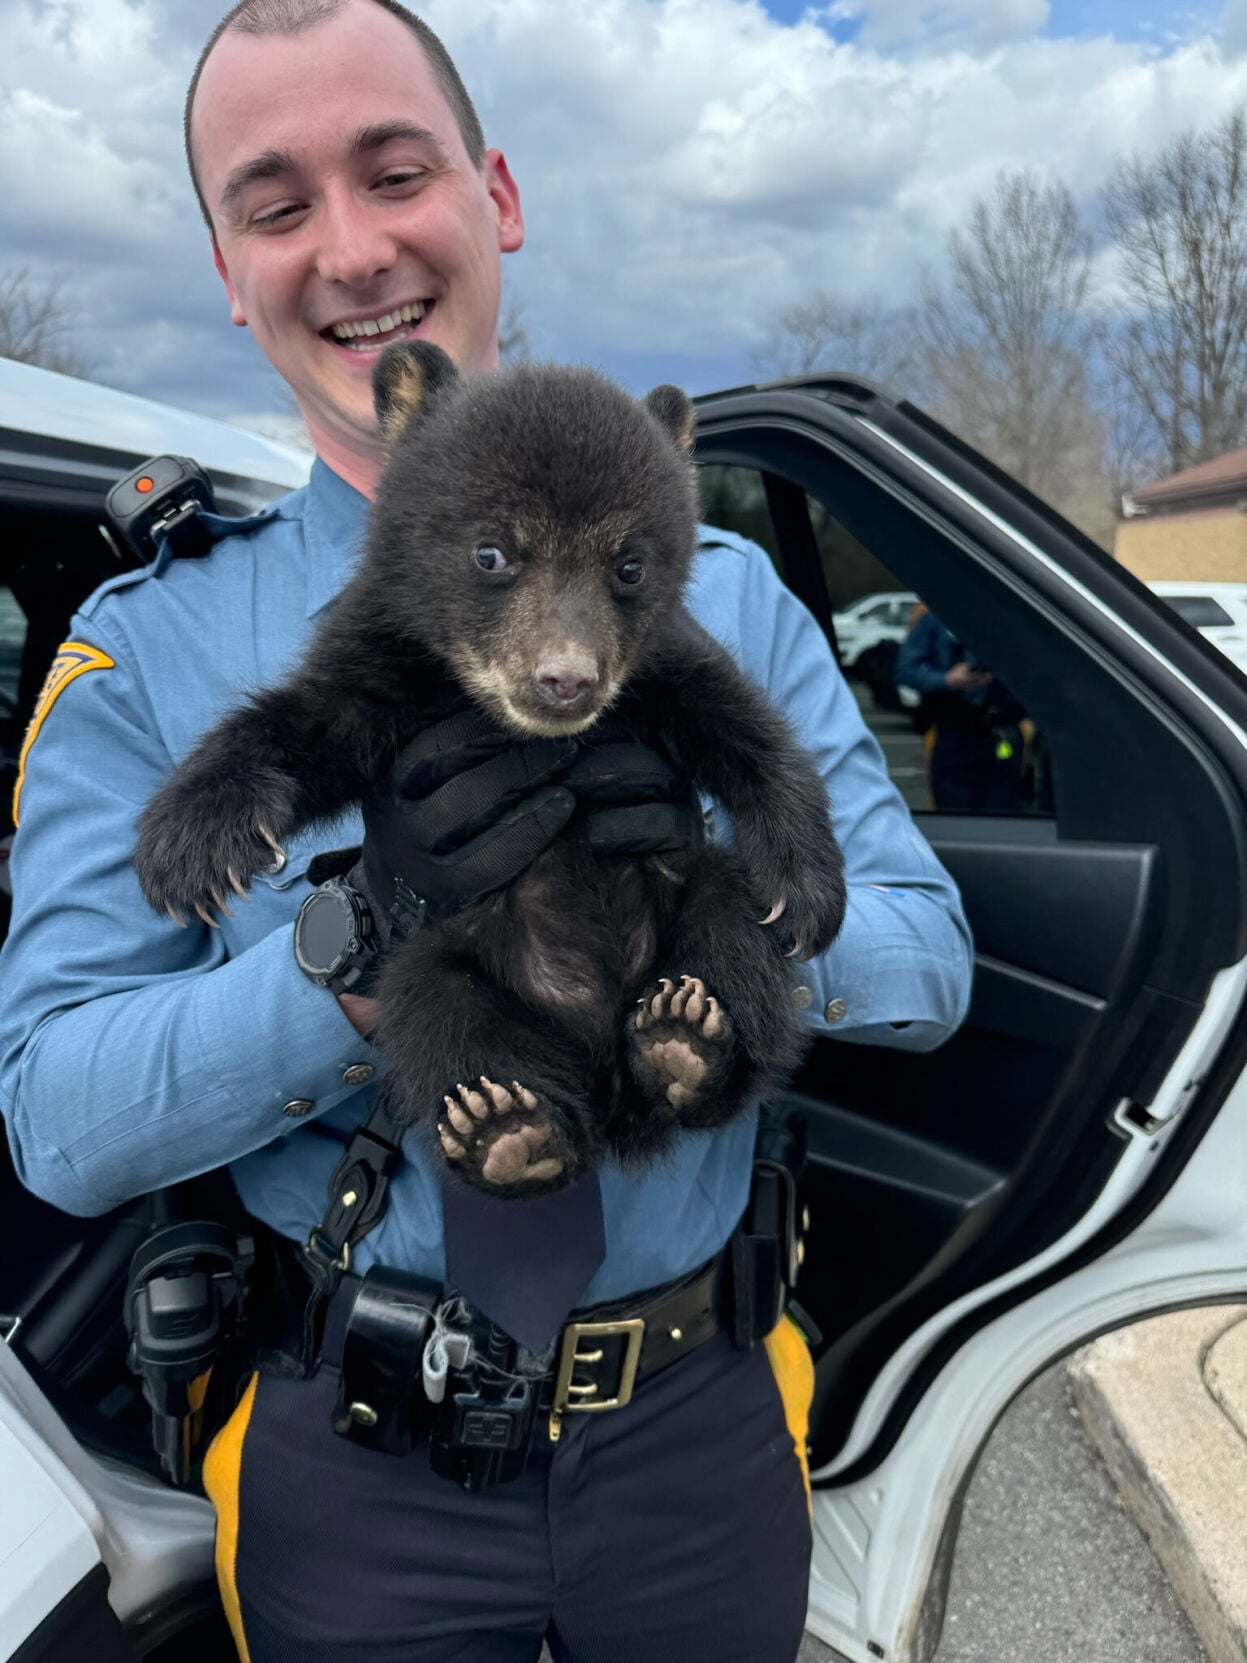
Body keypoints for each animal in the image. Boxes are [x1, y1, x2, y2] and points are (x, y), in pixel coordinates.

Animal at [132, 342, 846, 1197]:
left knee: (732, 943)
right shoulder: (385, 662)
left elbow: (744, 726)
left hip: (696, 897)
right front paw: (189, 847)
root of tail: (606, 1077)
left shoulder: (659, 666)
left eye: (629, 565)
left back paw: (686, 1040)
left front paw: (806, 892)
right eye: (491, 552)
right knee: (441, 1019)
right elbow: (309, 725)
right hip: (443, 961)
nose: (565, 679)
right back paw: (509, 1129)